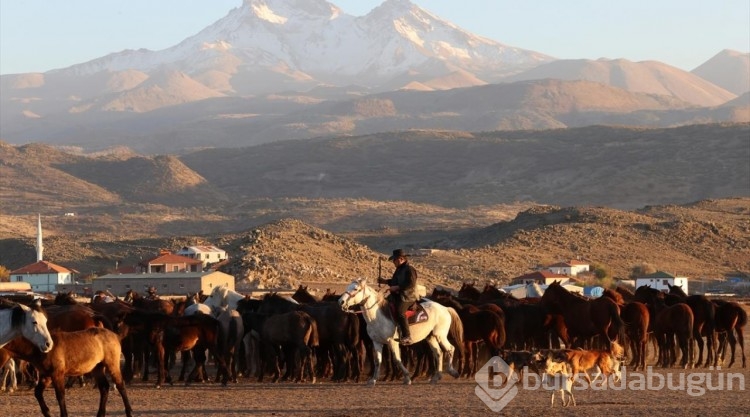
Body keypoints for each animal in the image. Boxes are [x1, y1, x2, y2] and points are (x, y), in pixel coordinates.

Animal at [4, 326, 134, 416]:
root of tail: (115, 335)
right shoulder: (47, 376)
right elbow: (38, 393)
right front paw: (47, 412)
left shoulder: (57, 375)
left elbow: (60, 396)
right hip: (97, 368)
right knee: (104, 388)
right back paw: (100, 414)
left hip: (112, 365)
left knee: (120, 385)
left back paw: (129, 412)